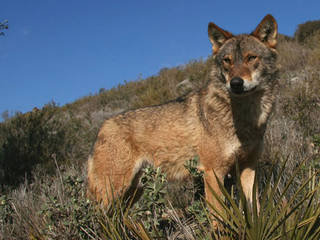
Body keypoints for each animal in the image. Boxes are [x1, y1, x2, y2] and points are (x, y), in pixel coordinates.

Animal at [87, 14, 278, 218]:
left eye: (251, 58)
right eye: (227, 61)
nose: (235, 83)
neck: (245, 118)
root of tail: (101, 128)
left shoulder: (248, 167)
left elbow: (255, 210)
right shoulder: (213, 172)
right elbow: (218, 218)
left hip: (132, 193)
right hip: (112, 193)